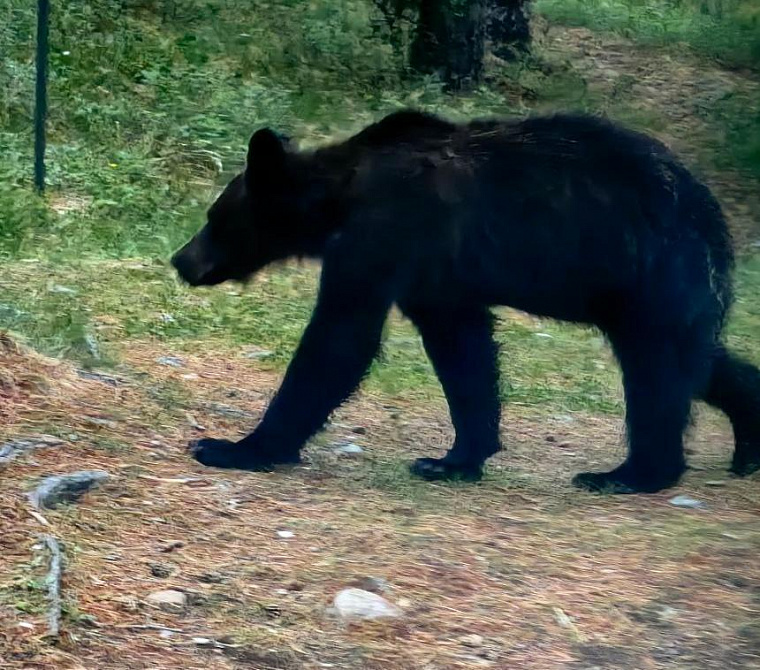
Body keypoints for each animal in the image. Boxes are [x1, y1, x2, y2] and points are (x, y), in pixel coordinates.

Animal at [171, 109, 760, 494]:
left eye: (214, 217)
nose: (180, 259)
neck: (341, 195)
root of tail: (713, 214)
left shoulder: (386, 234)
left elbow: (340, 339)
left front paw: (233, 446)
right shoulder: (436, 276)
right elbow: (463, 351)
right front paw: (454, 458)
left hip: (652, 275)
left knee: (656, 371)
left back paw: (630, 473)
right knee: (695, 360)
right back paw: (746, 442)